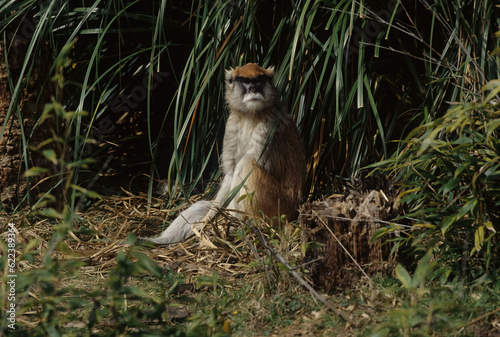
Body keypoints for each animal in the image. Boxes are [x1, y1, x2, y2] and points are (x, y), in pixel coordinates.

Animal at [139, 62, 306, 244]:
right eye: (245, 81)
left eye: (259, 80)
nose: (253, 88)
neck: (250, 114)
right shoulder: (232, 124)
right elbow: (230, 174)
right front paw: (207, 222)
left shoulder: (270, 128)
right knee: (203, 205)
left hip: (278, 206)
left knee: (247, 165)